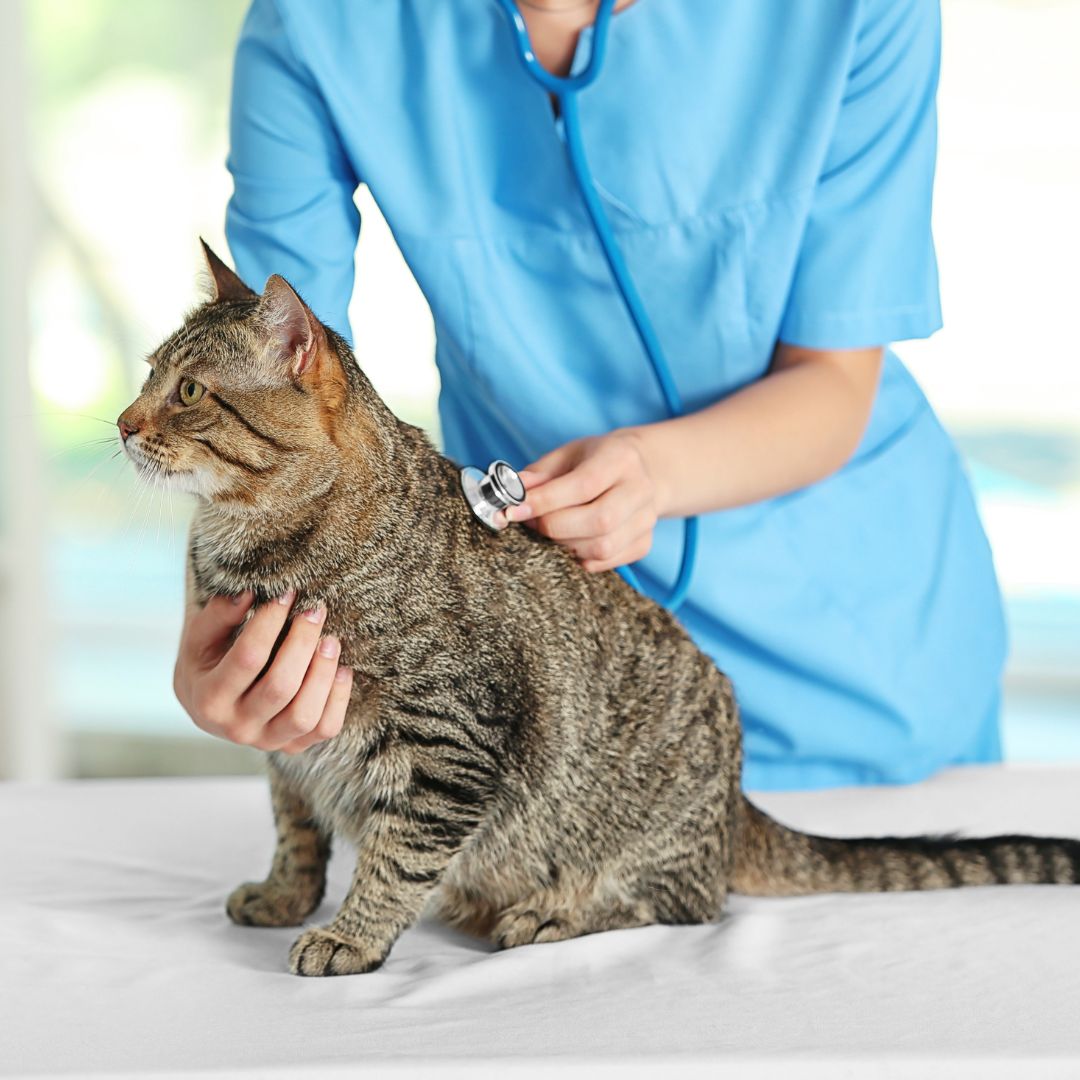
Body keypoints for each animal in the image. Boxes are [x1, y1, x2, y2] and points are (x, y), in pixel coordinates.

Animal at [118, 245, 1080, 980]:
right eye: (149, 373)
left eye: (189, 392)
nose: (122, 423)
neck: (244, 545)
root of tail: (736, 804)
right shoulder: (289, 743)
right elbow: (297, 828)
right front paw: (285, 895)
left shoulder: (449, 744)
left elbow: (397, 859)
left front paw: (353, 936)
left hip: (645, 837)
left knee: (687, 903)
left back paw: (551, 913)